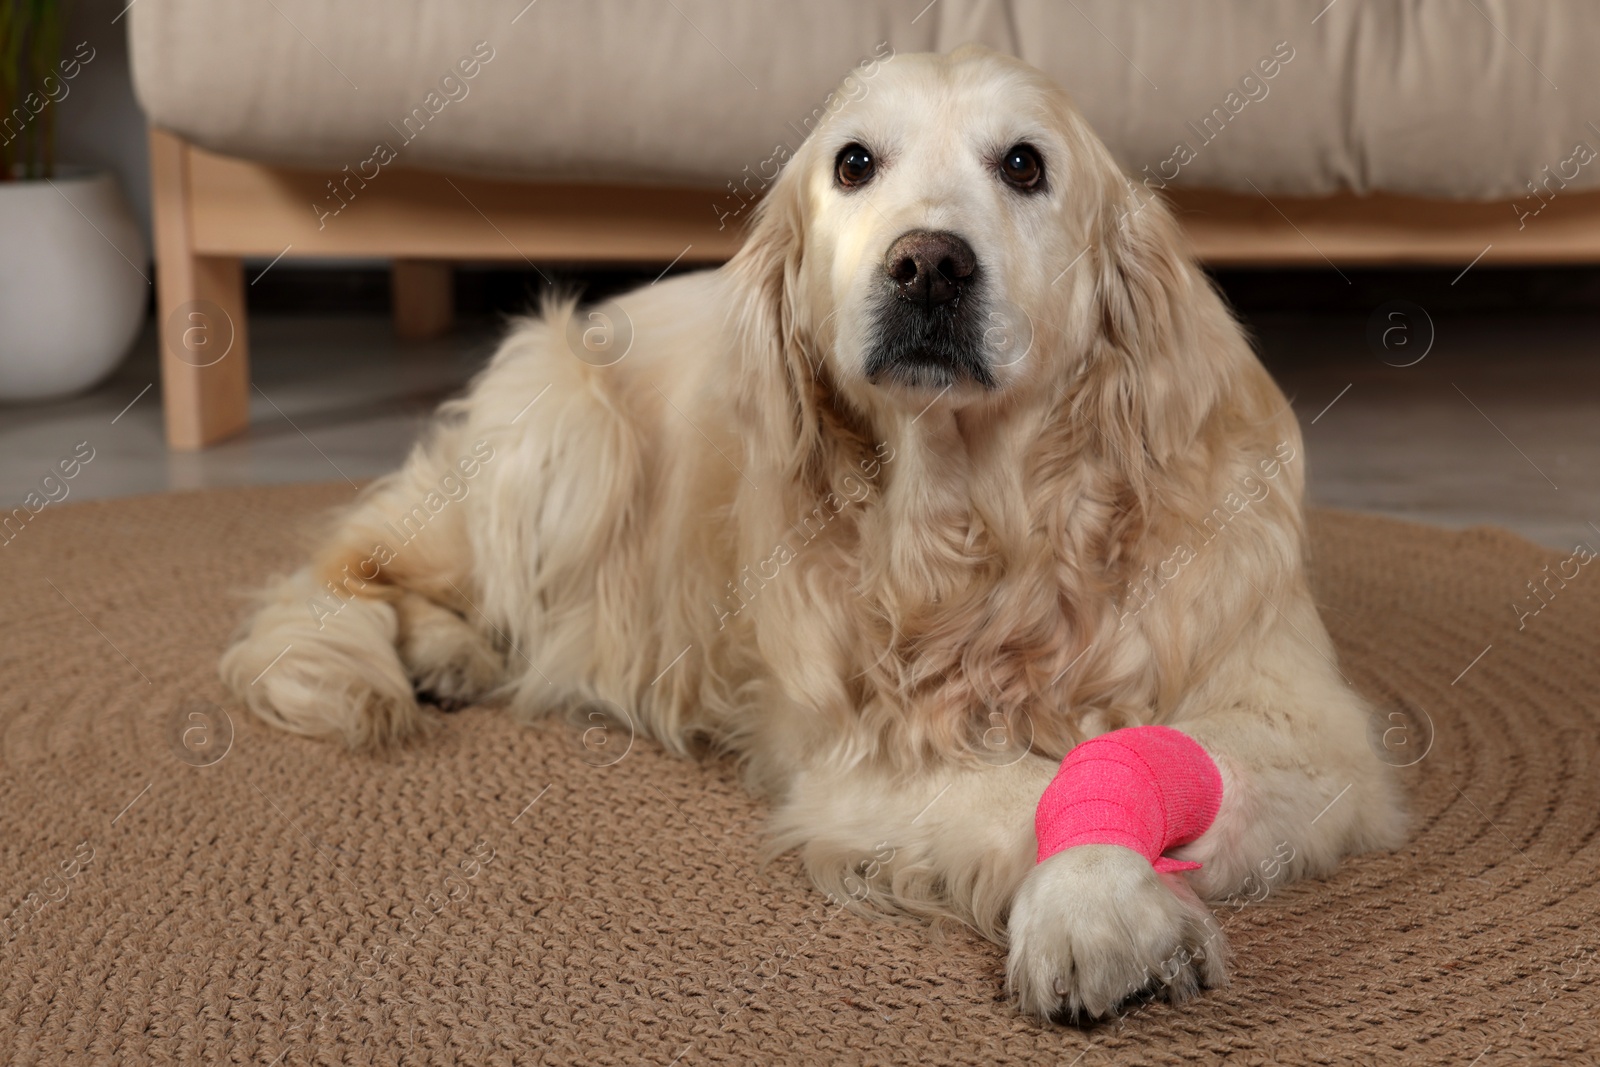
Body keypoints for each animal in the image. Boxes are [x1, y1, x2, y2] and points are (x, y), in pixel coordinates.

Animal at [222, 45, 1401, 1023]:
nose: (928, 265)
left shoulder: (1307, 725)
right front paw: (1100, 904)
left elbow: (1130, 754)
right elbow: (1031, 784)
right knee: (344, 572)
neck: (985, 532)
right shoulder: (858, 756)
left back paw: (451, 655)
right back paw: (438, 649)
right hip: (564, 426)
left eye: (1025, 164)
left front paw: (1099, 891)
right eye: (854, 163)